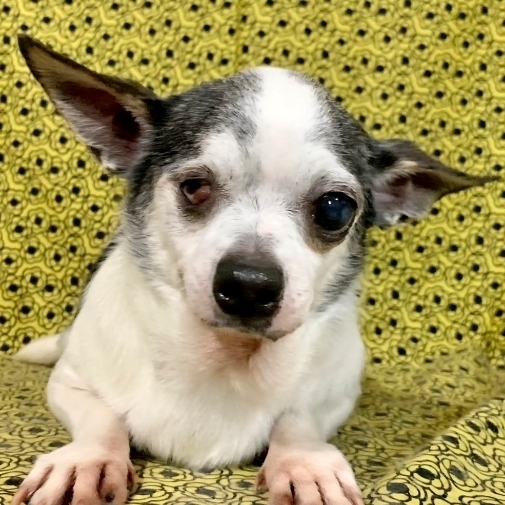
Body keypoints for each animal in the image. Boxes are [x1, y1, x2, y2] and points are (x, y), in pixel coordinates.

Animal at [11, 35, 492, 505]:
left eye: (335, 209)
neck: (227, 355)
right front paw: (88, 461)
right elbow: (102, 417)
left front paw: (303, 462)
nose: (249, 284)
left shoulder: (338, 395)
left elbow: (299, 420)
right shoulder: (69, 384)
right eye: (195, 188)